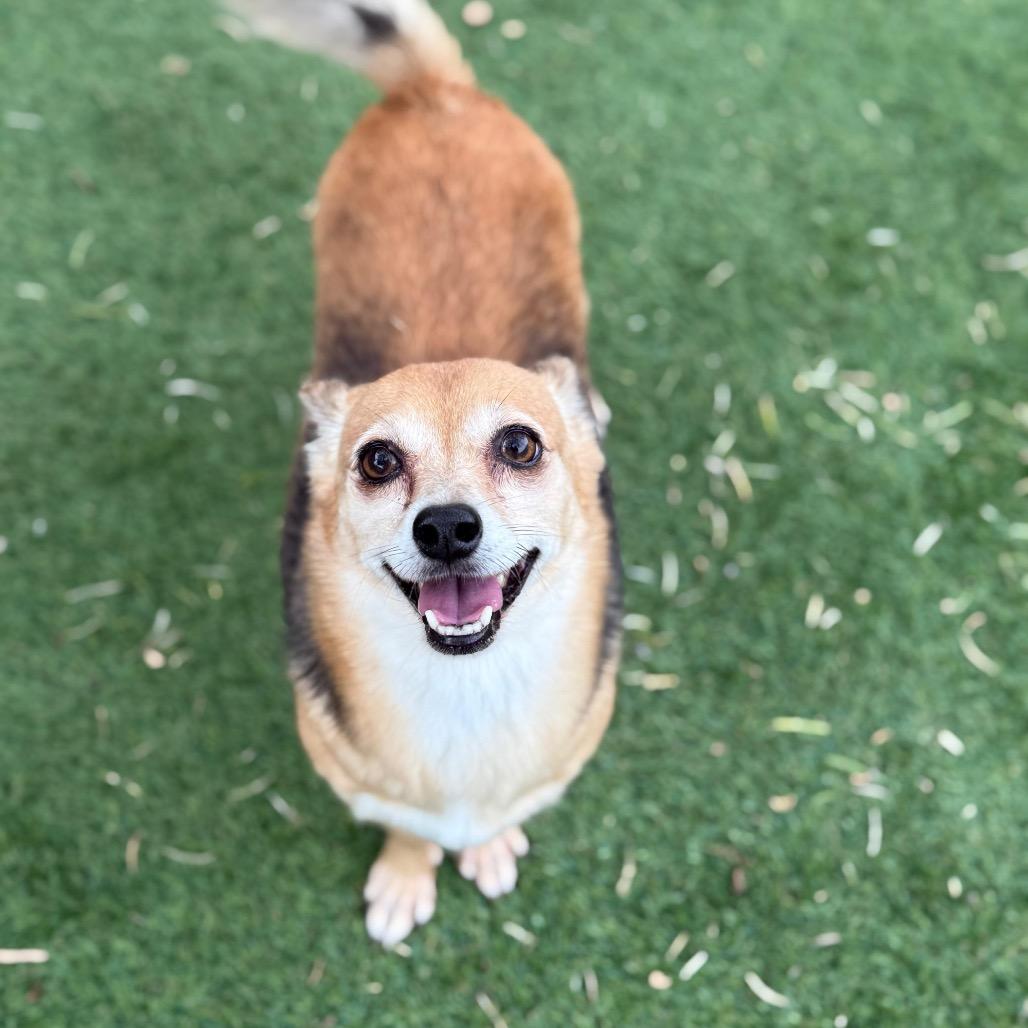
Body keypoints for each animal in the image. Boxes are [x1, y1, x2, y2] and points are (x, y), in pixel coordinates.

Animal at [226, 0, 622, 945]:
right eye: (377, 461)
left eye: (520, 446)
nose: (444, 527)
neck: (464, 689)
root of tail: (435, 94)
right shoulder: (368, 784)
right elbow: (407, 825)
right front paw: (409, 875)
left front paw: (488, 843)